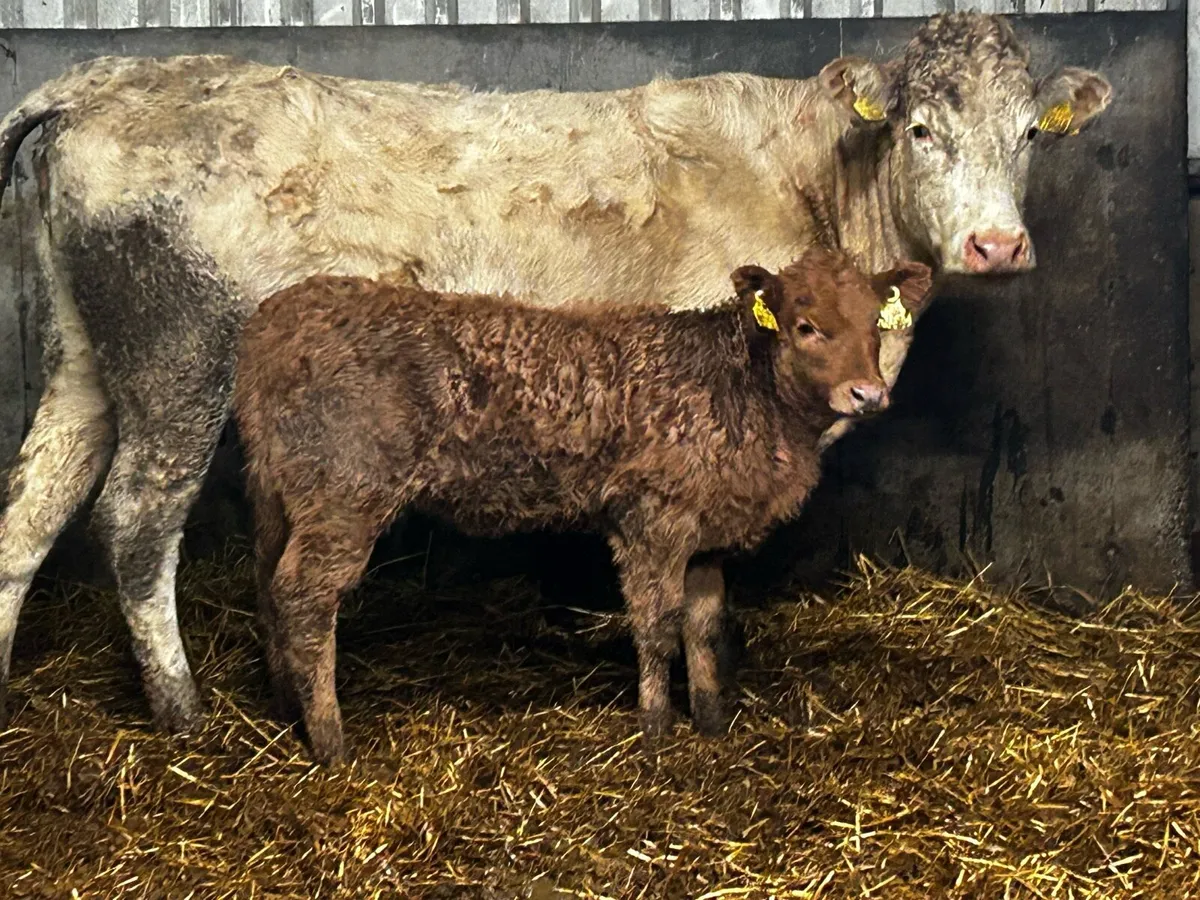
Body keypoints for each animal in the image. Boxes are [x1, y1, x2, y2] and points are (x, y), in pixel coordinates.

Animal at [234, 251, 935, 763]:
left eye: (875, 327)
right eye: (806, 326)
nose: (868, 393)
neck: (744, 391)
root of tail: (283, 315)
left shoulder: (705, 530)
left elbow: (705, 627)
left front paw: (710, 722)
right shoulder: (653, 517)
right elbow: (657, 626)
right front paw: (656, 728)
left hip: (281, 494)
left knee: (268, 585)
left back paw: (286, 708)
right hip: (345, 493)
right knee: (303, 595)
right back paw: (331, 741)